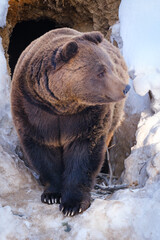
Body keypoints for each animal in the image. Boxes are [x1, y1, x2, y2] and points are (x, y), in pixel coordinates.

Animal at [10, 27, 129, 217]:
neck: (62, 104)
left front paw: (73, 204)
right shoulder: (32, 110)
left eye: (110, 67)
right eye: (100, 72)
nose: (125, 87)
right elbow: (43, 152)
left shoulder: (86, 117)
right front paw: (52, 194)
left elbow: (84, 154)